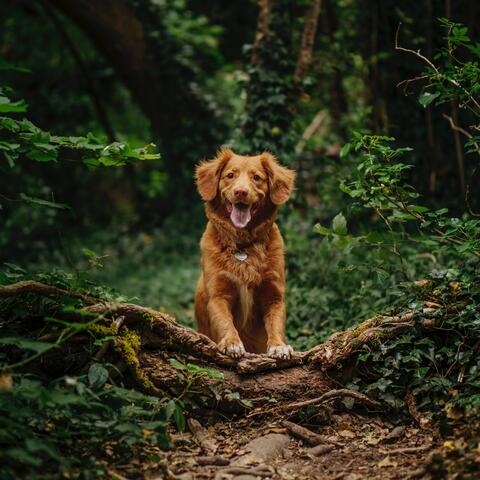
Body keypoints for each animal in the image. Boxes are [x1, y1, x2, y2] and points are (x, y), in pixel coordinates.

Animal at [193, 148, 294, 358]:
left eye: (256, 178)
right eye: (230, 175)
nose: (241, 191)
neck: (243, 245)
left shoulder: (274, 295)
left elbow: (275, 324)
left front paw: (279, 345)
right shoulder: (218, 295)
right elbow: (225, 322)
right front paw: (231, 342)